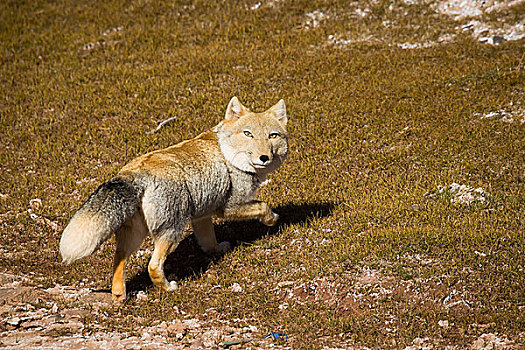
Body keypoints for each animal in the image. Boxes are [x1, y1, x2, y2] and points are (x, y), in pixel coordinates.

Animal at [59, 97, 288, 302]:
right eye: (248, 134)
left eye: (272, 136)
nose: (264, 158)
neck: (227, 153)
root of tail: (133, 173)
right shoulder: (229, 207)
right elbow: (263, 206)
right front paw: (272, 219)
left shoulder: (202, 216)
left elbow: (208, 241)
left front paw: (215, 251)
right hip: (171, 232)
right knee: (153, 265)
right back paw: (168, 288)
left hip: (135, 237)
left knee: (118, 259)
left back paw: (119, 295)